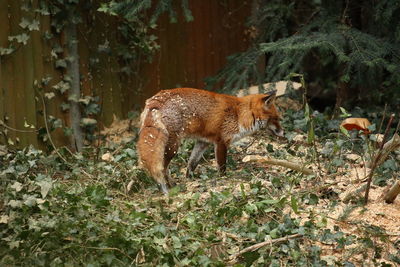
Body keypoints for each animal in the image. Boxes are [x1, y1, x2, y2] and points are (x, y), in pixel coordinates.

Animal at [138, 88, 284, 195]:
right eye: (276, 118)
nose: (284, 133)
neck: (239, 114)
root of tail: (155, 100)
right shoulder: (221, 142)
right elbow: (222, 166)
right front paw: (224, 180)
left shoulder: (203, 142)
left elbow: (192, 163)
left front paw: (190, 179)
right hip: (172, 147)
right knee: (163, 168)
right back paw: (169, 187)